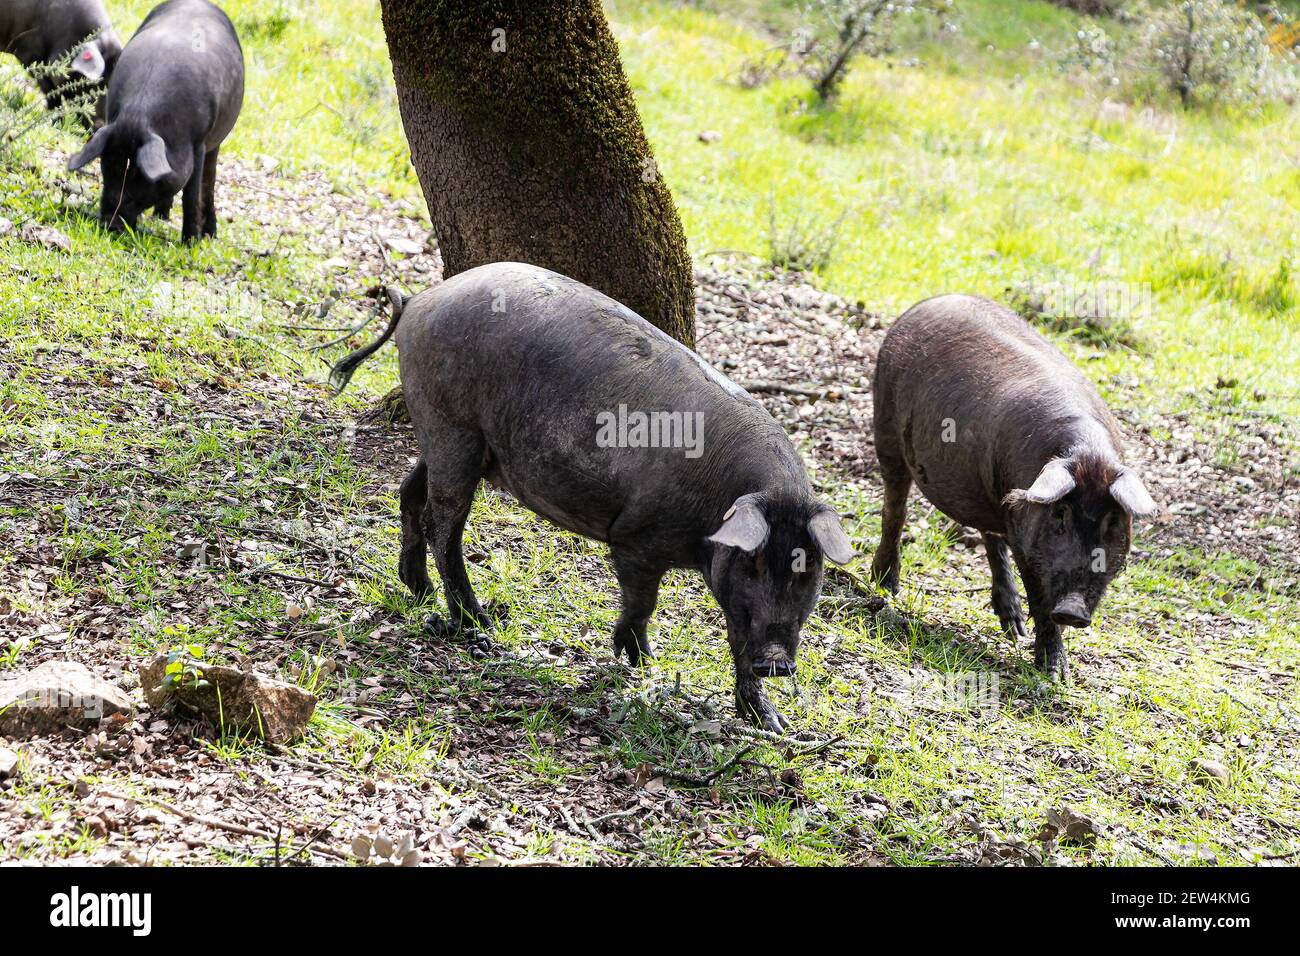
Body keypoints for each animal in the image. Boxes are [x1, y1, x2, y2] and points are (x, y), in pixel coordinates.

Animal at [65, 0, 244, 243]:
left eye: (140, 175)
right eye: (108, 166)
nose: (109, 224)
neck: (140, 114)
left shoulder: (198, 143)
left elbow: (191, 194)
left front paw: (191, 243)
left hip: (215, 142)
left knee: (209, 181)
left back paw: (208, 234)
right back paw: (161, 217)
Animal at [330, 264, 852, 733]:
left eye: (807, 567)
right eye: (754, 561)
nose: (778, 663)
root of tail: (419, 301)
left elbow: (737, 639)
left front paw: (774, 725)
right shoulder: (637, 539)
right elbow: (644, 601)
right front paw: (642, 662)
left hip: (450, 439)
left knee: (410, 491)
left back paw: (419, 591)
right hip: (451, 426)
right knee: (443, 526)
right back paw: (477, 624)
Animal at [873, 295, 1159, 676]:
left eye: (1112, 521)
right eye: (1059, 514)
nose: (1072, 609)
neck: (1087, 455)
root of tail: (925, 304)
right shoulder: (1025, 537)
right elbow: (1038, 597)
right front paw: (1055, 673)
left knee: (988, 536)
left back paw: (1013, 628)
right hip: (885, 427)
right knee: (896, 506)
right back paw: (885, 586)